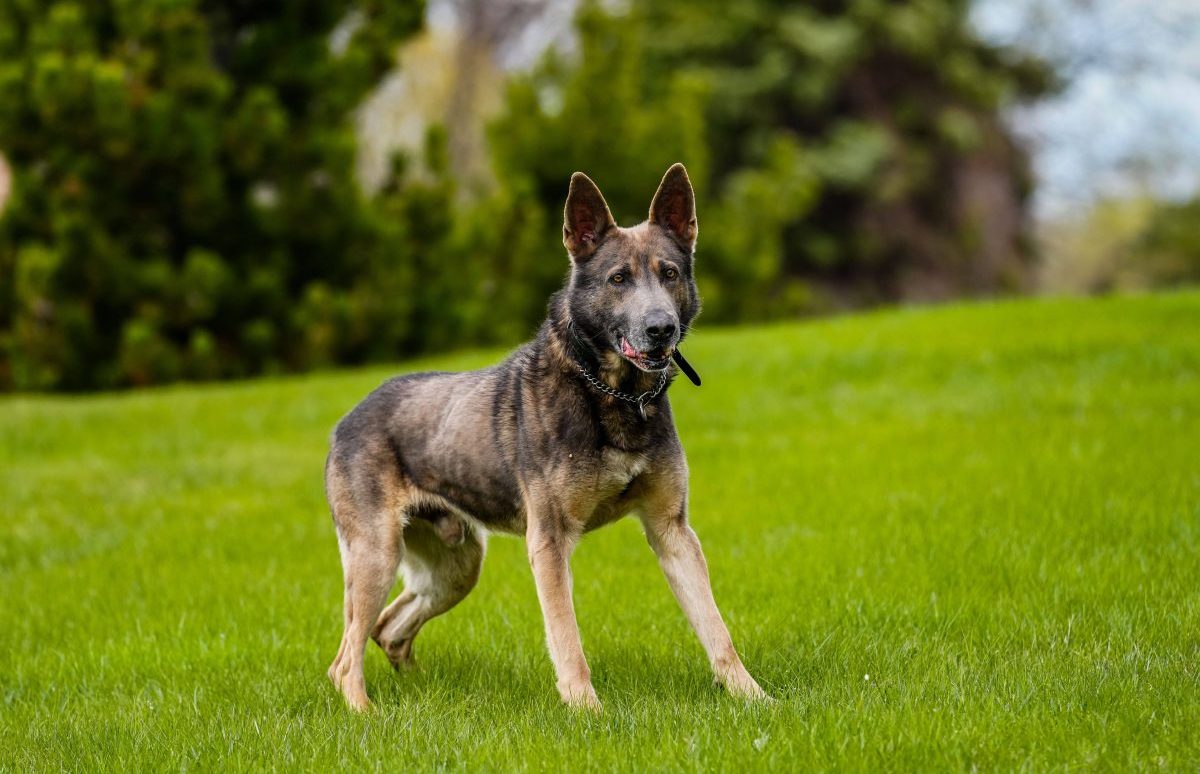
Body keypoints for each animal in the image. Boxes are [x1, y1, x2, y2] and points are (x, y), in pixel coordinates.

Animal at [324, 165, 763, 710]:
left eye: (670, 273)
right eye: (618, 279)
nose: (661, 328)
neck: (614, 394)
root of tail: (345, 420)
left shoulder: (672, 530)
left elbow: (715, 627)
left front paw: (754, 697)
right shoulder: (549, 541)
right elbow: (567, 636)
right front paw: (586, 710)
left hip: (456, 565)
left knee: (387, 628)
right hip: (376, 555)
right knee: (346, 658)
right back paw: (367, 715)